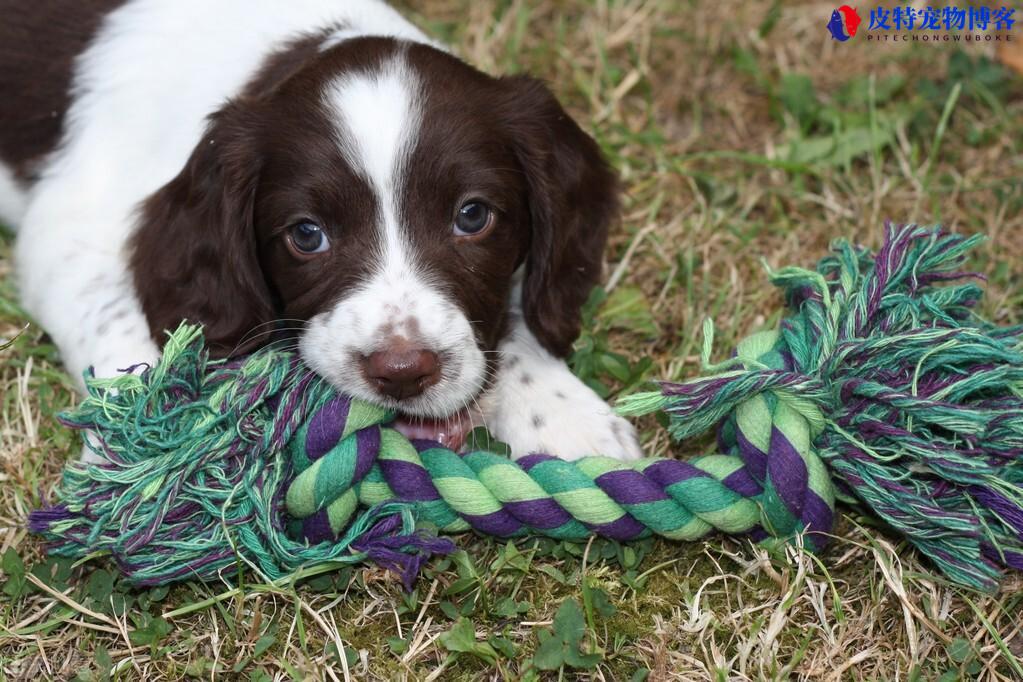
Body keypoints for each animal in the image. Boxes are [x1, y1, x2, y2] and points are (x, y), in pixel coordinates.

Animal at [0, 0, 638, 464]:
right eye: (307, 236)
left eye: (473, 216)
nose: (402, 373)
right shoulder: (68, 230)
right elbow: (122, 328)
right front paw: (141, 442)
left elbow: (514, 315)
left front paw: (563, 412)